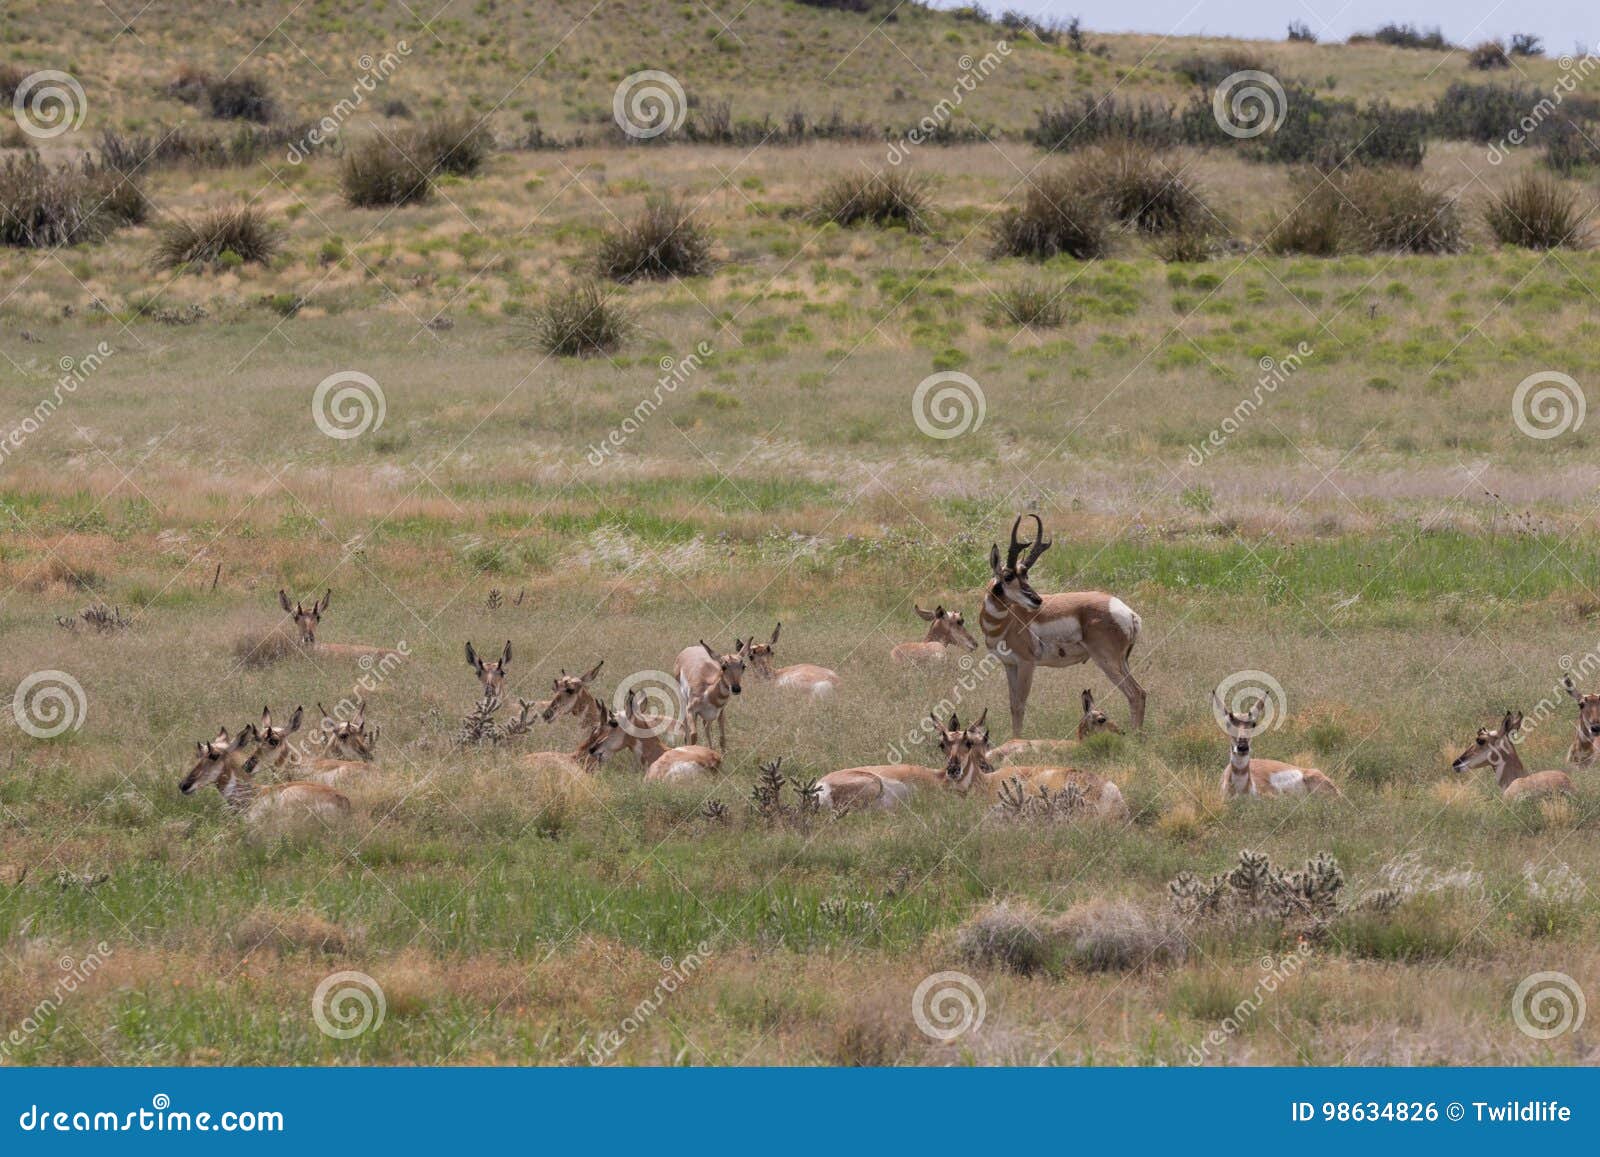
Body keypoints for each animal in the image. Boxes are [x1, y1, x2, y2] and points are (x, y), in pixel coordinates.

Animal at [979, 516, 1145, 737]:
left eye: (1026, 575)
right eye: (1008, 576)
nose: (1037, 600)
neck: (1006, 623)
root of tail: (1128, 612)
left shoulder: (1027, 664)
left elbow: (1021, 705)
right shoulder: (1010, 665)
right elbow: (1013, 706)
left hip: (1107, 661)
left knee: (1134, 694)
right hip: (1122, 661)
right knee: (1141, 692)